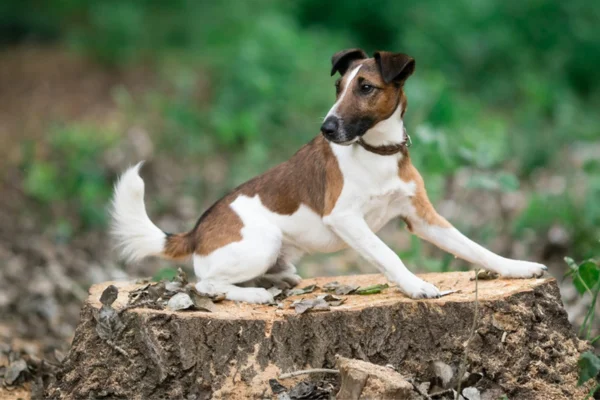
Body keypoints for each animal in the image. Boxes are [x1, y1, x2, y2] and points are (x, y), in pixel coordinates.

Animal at [112, 48, 548, 304]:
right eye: (339, 86)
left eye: (366, 87)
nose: (326, 127)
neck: (376, 152)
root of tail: (195, 232)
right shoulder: (345, 218)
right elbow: (388, 255)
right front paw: (416, 286)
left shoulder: (422, 216)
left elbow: (474, 248)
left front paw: (517, 267)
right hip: (263, 241)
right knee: (204, 283)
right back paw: (254, 295)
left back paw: (278, 281)